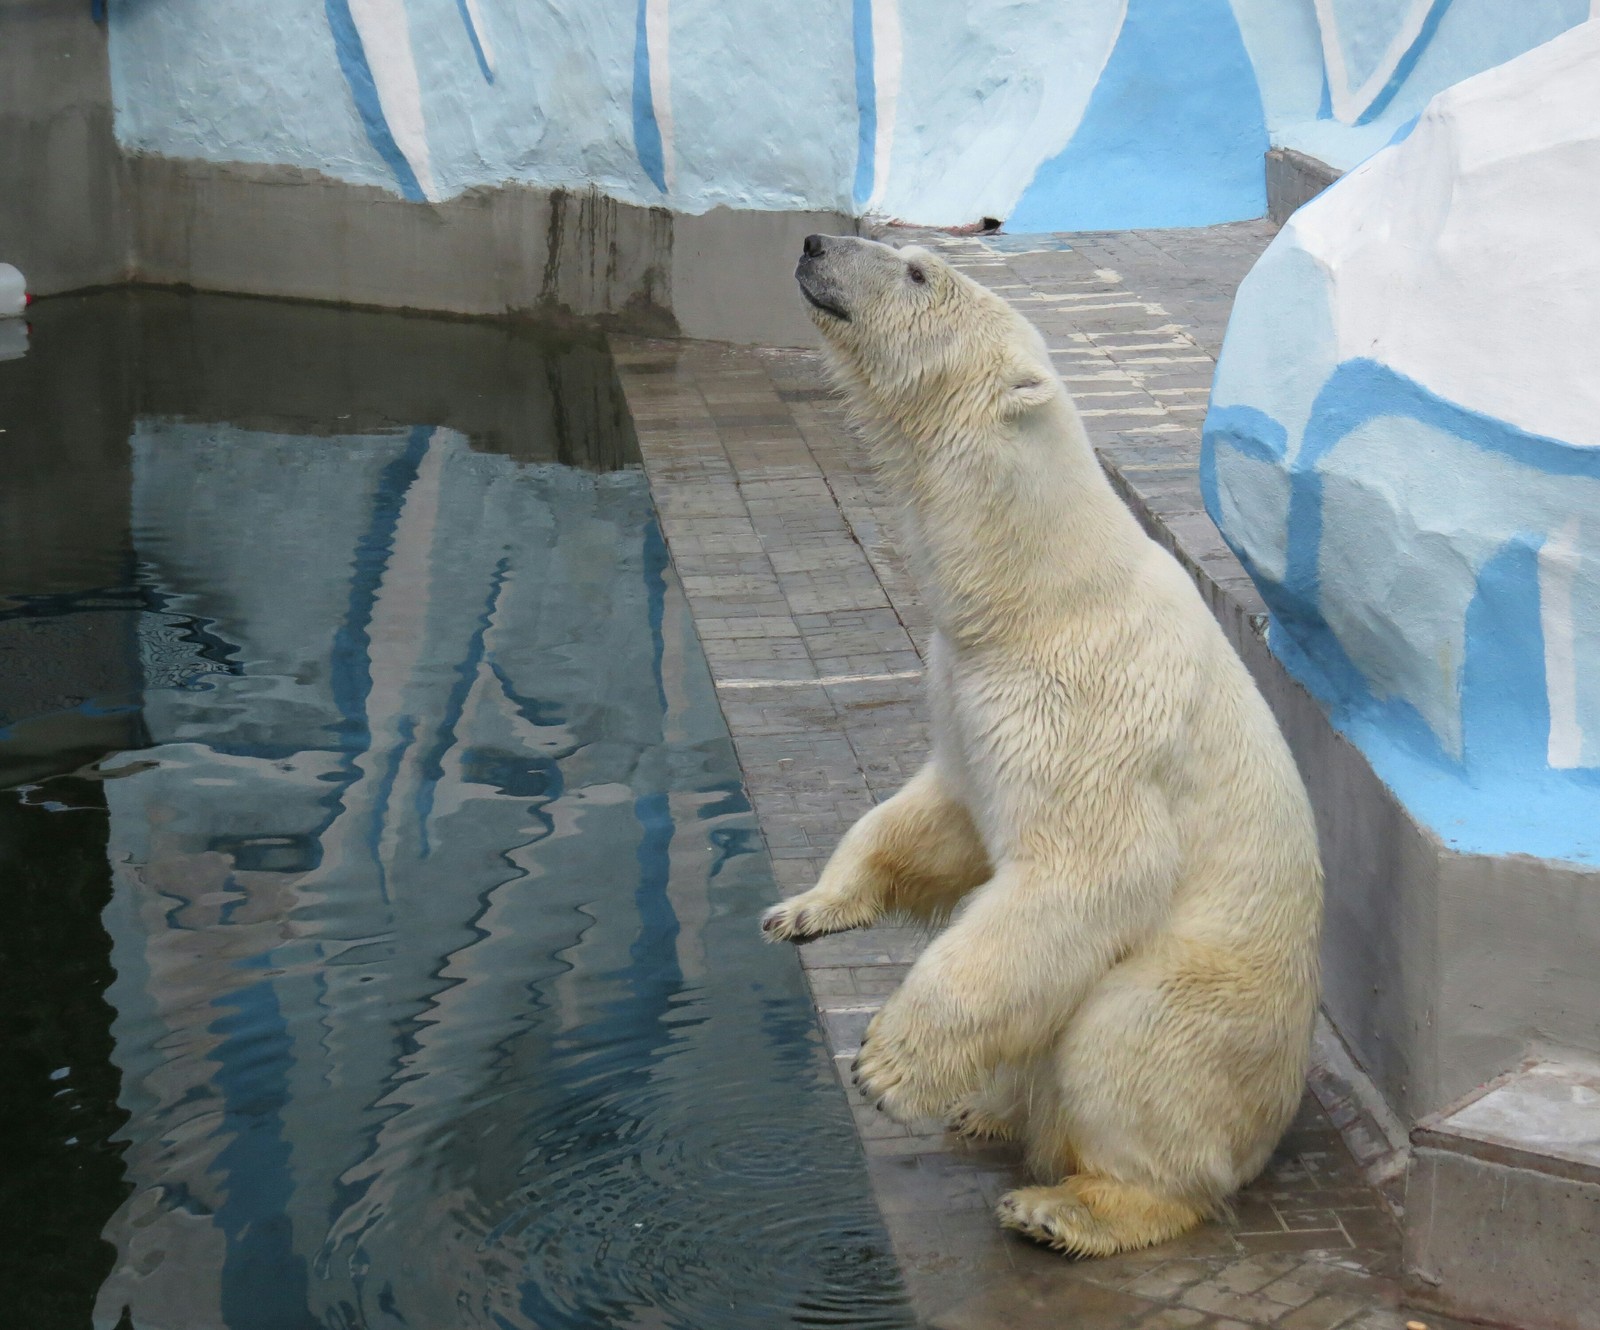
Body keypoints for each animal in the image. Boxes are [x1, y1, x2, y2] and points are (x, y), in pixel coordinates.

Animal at [761, 236, 1324, 1261]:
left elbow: (1083, 873)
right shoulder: (972, 686)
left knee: (1126, 1048)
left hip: (1211, 1013)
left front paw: (885, 1067)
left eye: (916, 270)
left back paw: (1068, 1205)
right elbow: (941, 812)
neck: (1039, 588)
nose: (815, 243)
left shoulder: (1090, 709)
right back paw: (990, 1111)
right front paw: (808, 907)